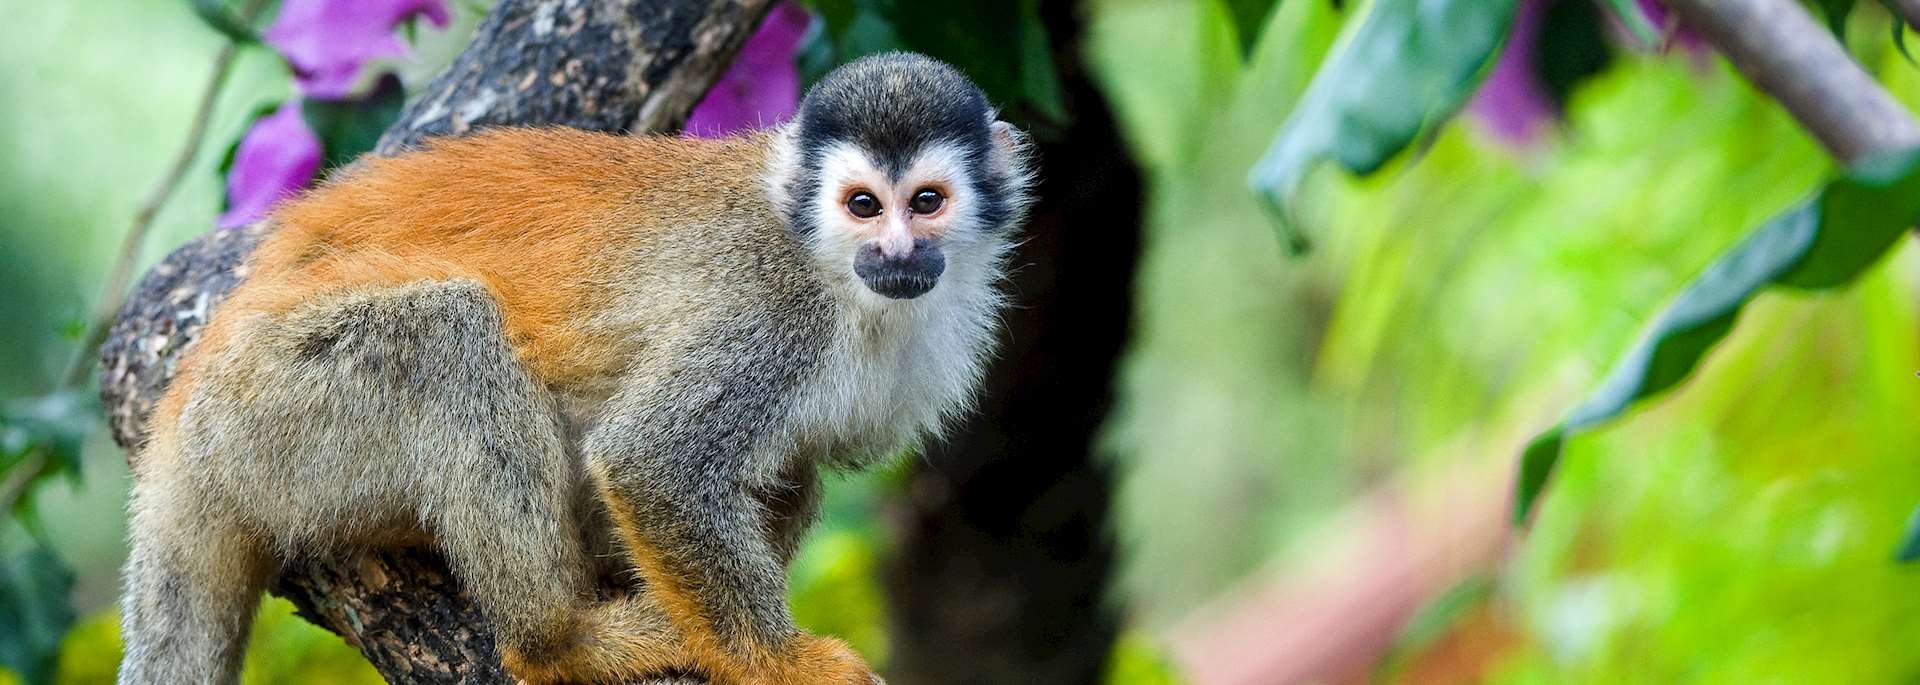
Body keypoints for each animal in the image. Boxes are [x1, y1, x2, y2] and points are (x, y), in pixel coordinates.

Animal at [116, 52, 1034, 685]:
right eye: (863, 206)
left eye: (925, 203)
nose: (898, 253)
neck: (837, 274)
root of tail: (177, 427)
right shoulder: (771, 313)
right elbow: (652, 462)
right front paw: (777, 662)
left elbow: (775, 467)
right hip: (267, 411)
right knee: (449, 336)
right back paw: (558, 643)